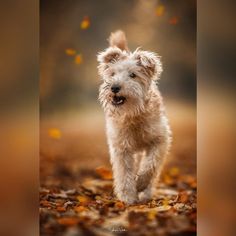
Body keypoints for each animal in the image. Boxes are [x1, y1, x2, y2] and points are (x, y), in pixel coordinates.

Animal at [97, 30, 171, 205]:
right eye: (112, 74)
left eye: (133, 75)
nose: (114, 87)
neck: (133, 115)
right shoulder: (121, 148)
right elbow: (124, 173)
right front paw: (128, 197)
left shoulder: (160, 140)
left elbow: (151, 166)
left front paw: (141, 185)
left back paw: (146, 194)